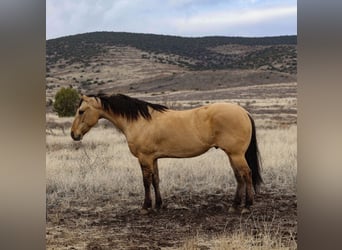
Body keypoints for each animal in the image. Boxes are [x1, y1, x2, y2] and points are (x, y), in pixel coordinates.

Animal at [69, 93, 262, 214]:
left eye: (81, 111)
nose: (74, 135)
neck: (140, 121)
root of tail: (243, 112)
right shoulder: (153, 158)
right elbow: (156, 180)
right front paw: (159, 205)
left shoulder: (144, 158)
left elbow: (146, 182)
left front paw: (146, 207)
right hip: (231, 155)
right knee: (239, 177)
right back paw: (234, 205)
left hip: (236, 154)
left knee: (246, 174)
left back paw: (247, 206)